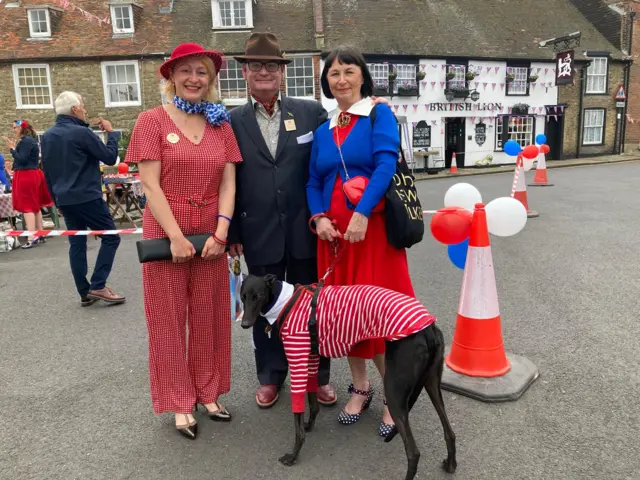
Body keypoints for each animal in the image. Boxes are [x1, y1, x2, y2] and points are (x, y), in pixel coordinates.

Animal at [239, 274, 456, 480]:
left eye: (258, 295)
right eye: (242, 296)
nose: (245, 324)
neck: (286, 301)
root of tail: (429, 329)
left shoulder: (298, 359)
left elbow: (297, 417)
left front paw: (293, 456)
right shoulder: (311, 358)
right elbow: (313, 401)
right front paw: (310, 425)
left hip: (395, 391)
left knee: (413, 452)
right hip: (432, 383)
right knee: (449, 431)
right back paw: (450, 464)